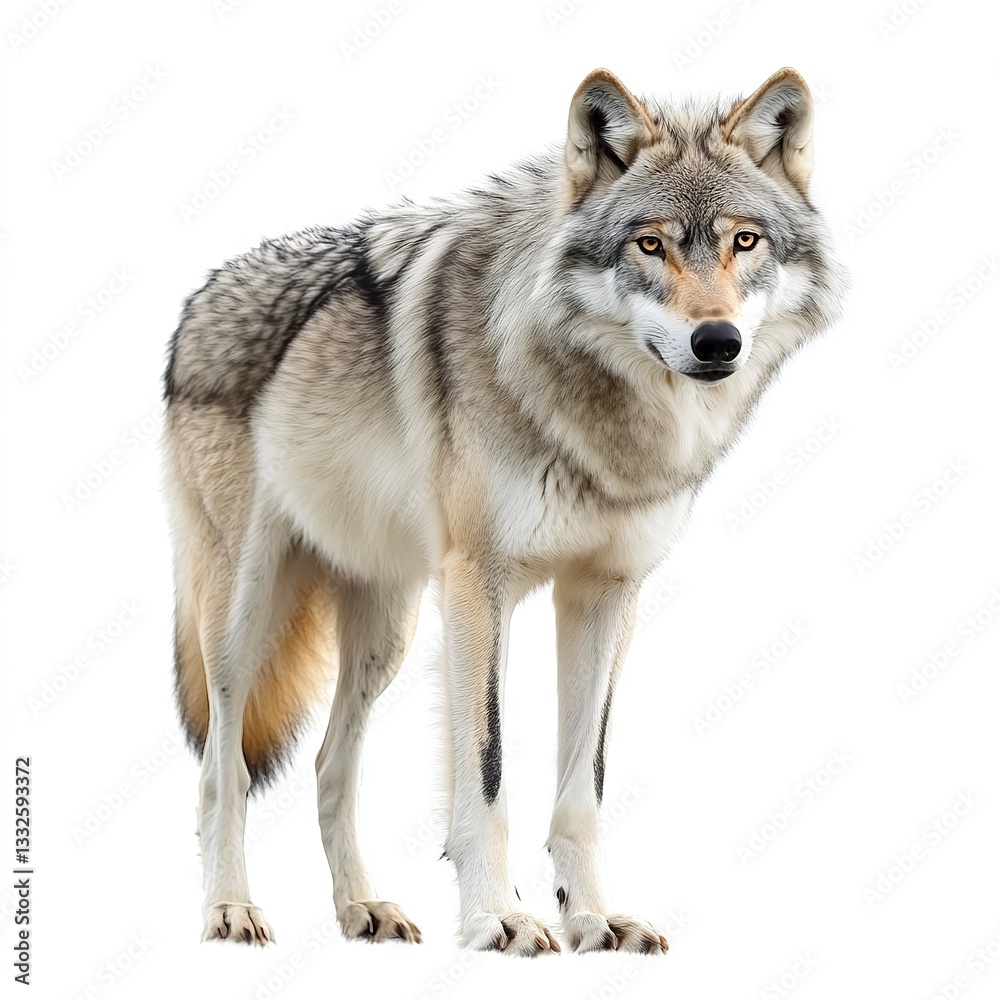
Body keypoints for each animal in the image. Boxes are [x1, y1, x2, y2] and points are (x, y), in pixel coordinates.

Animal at [163, 67, 844, 955]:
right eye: (649, 245)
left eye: (745, 242)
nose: (717, 342)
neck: (601, 421)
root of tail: (200, 295)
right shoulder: (479, 588)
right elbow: (484, 777)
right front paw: (499, 919)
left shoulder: (605, 594)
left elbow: (583, 786)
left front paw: (594, 917)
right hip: (243, 617)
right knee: (223, 769)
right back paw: (229, 910)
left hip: (385, 631)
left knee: (328, 767)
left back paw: (362, 909)